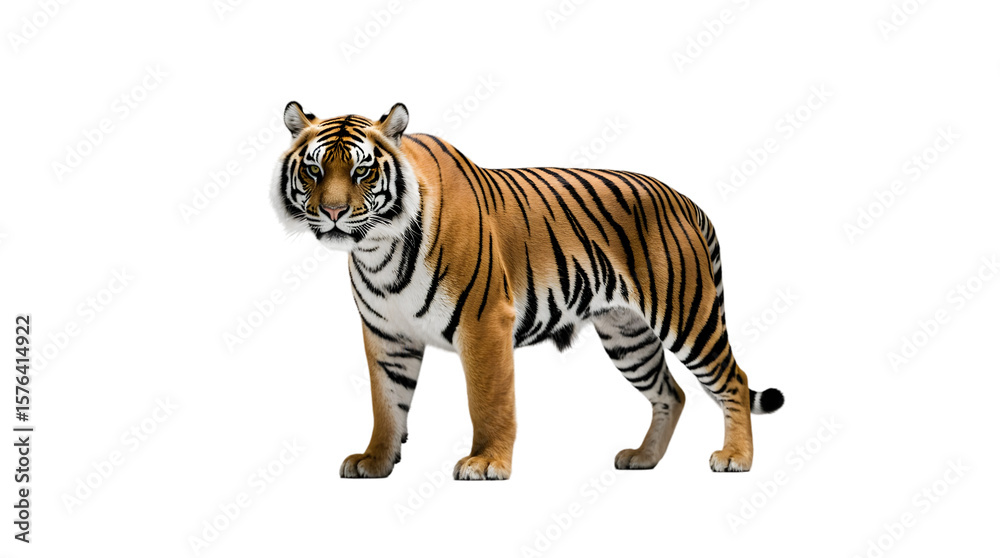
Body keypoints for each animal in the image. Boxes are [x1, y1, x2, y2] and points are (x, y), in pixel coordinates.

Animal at [271, 101, 784, 480]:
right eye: (314, 171)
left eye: (362, 173)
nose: (333, 212)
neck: (378, 248)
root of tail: (687, 201)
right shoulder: (386, 336)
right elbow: (386, 405)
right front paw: (375, 461)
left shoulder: (484, 323)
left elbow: (489, 400)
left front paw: (486, 463)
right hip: (628, 335)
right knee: (671, 394)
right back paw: (643, 458)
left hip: (686, 314)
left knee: (733, 380)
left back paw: (736, 458)